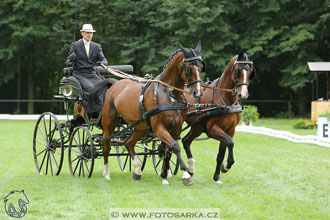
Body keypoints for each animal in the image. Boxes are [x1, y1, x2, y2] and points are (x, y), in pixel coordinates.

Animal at [89, 40, 205, 185]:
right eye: (189, 68)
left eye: (201, 67)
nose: (197, 92)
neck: (169, 95)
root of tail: (114, 84)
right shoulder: (159, 128)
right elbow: (175, 146)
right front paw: (186, 175)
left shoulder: (176, 128)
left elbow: (168, 150)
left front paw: (164, 175)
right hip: (109, 123)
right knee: (107, 145)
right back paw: (106, 173)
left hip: (140, 127)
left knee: (128, 143)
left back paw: (138, 171)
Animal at [182, 49, 256, 184]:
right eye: (238, 70)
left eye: (250, 72)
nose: (243, 94)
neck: (226, 100)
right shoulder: (213, 129)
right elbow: (230, 142)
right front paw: (226, 166)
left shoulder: (229, 130)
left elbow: (221, 154)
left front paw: (217, 176)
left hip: (197, 127)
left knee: (185, 141)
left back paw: (190, 170)